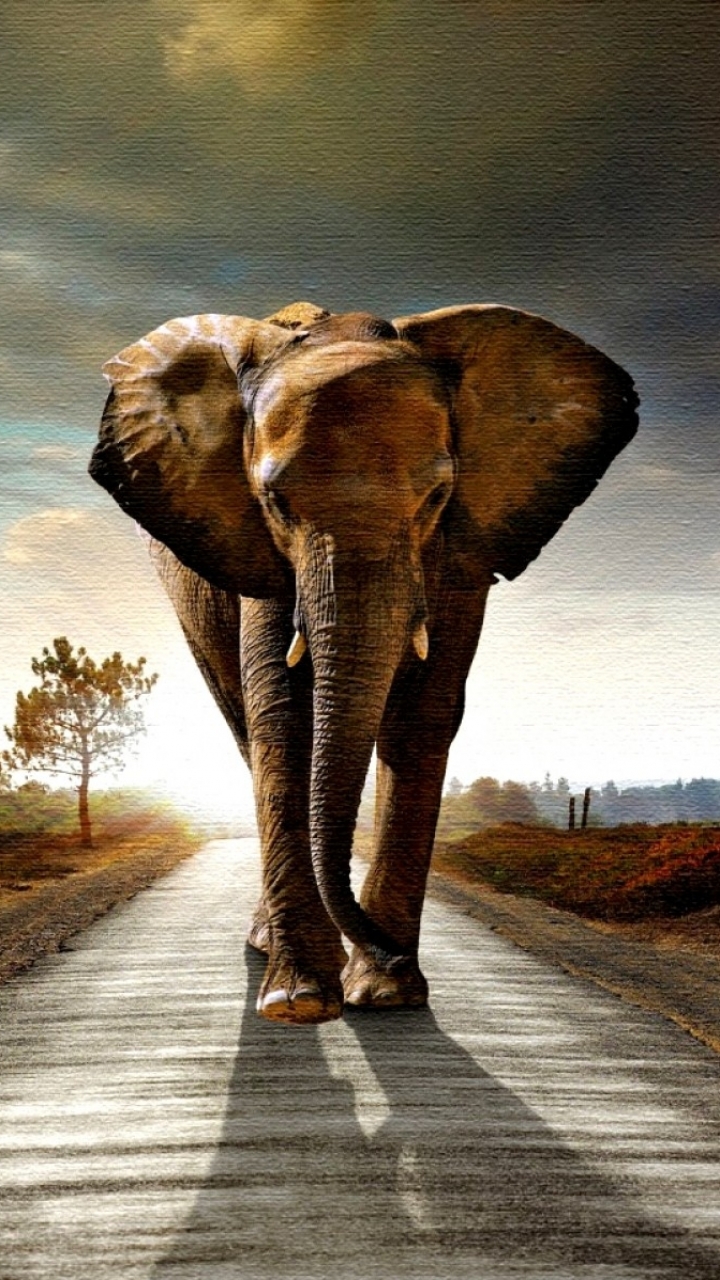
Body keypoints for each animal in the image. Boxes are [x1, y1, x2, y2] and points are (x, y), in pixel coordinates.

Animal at [90, 299, 638, 1025]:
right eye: (275, 502)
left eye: (436, 498)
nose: (390, 953)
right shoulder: (256, 548)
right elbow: (283, 714)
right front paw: (300, 1002)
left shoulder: (461, 547)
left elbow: (422, 715)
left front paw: (386, 994)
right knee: (244, 726)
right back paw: (269, 949)